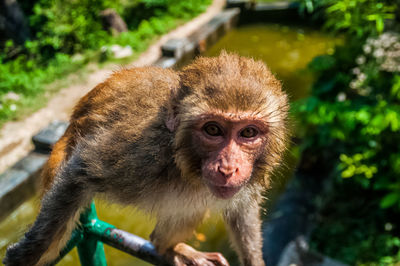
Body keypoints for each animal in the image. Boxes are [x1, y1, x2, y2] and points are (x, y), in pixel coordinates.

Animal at [4, 52, 290, 266]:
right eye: (213, 130)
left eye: (248, 133)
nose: (229, 168)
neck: (179, 159)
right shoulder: (138, 153)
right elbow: (80, 171)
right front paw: (27, 254)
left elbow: (242, 209)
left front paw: (254, 260)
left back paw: (167, 247)